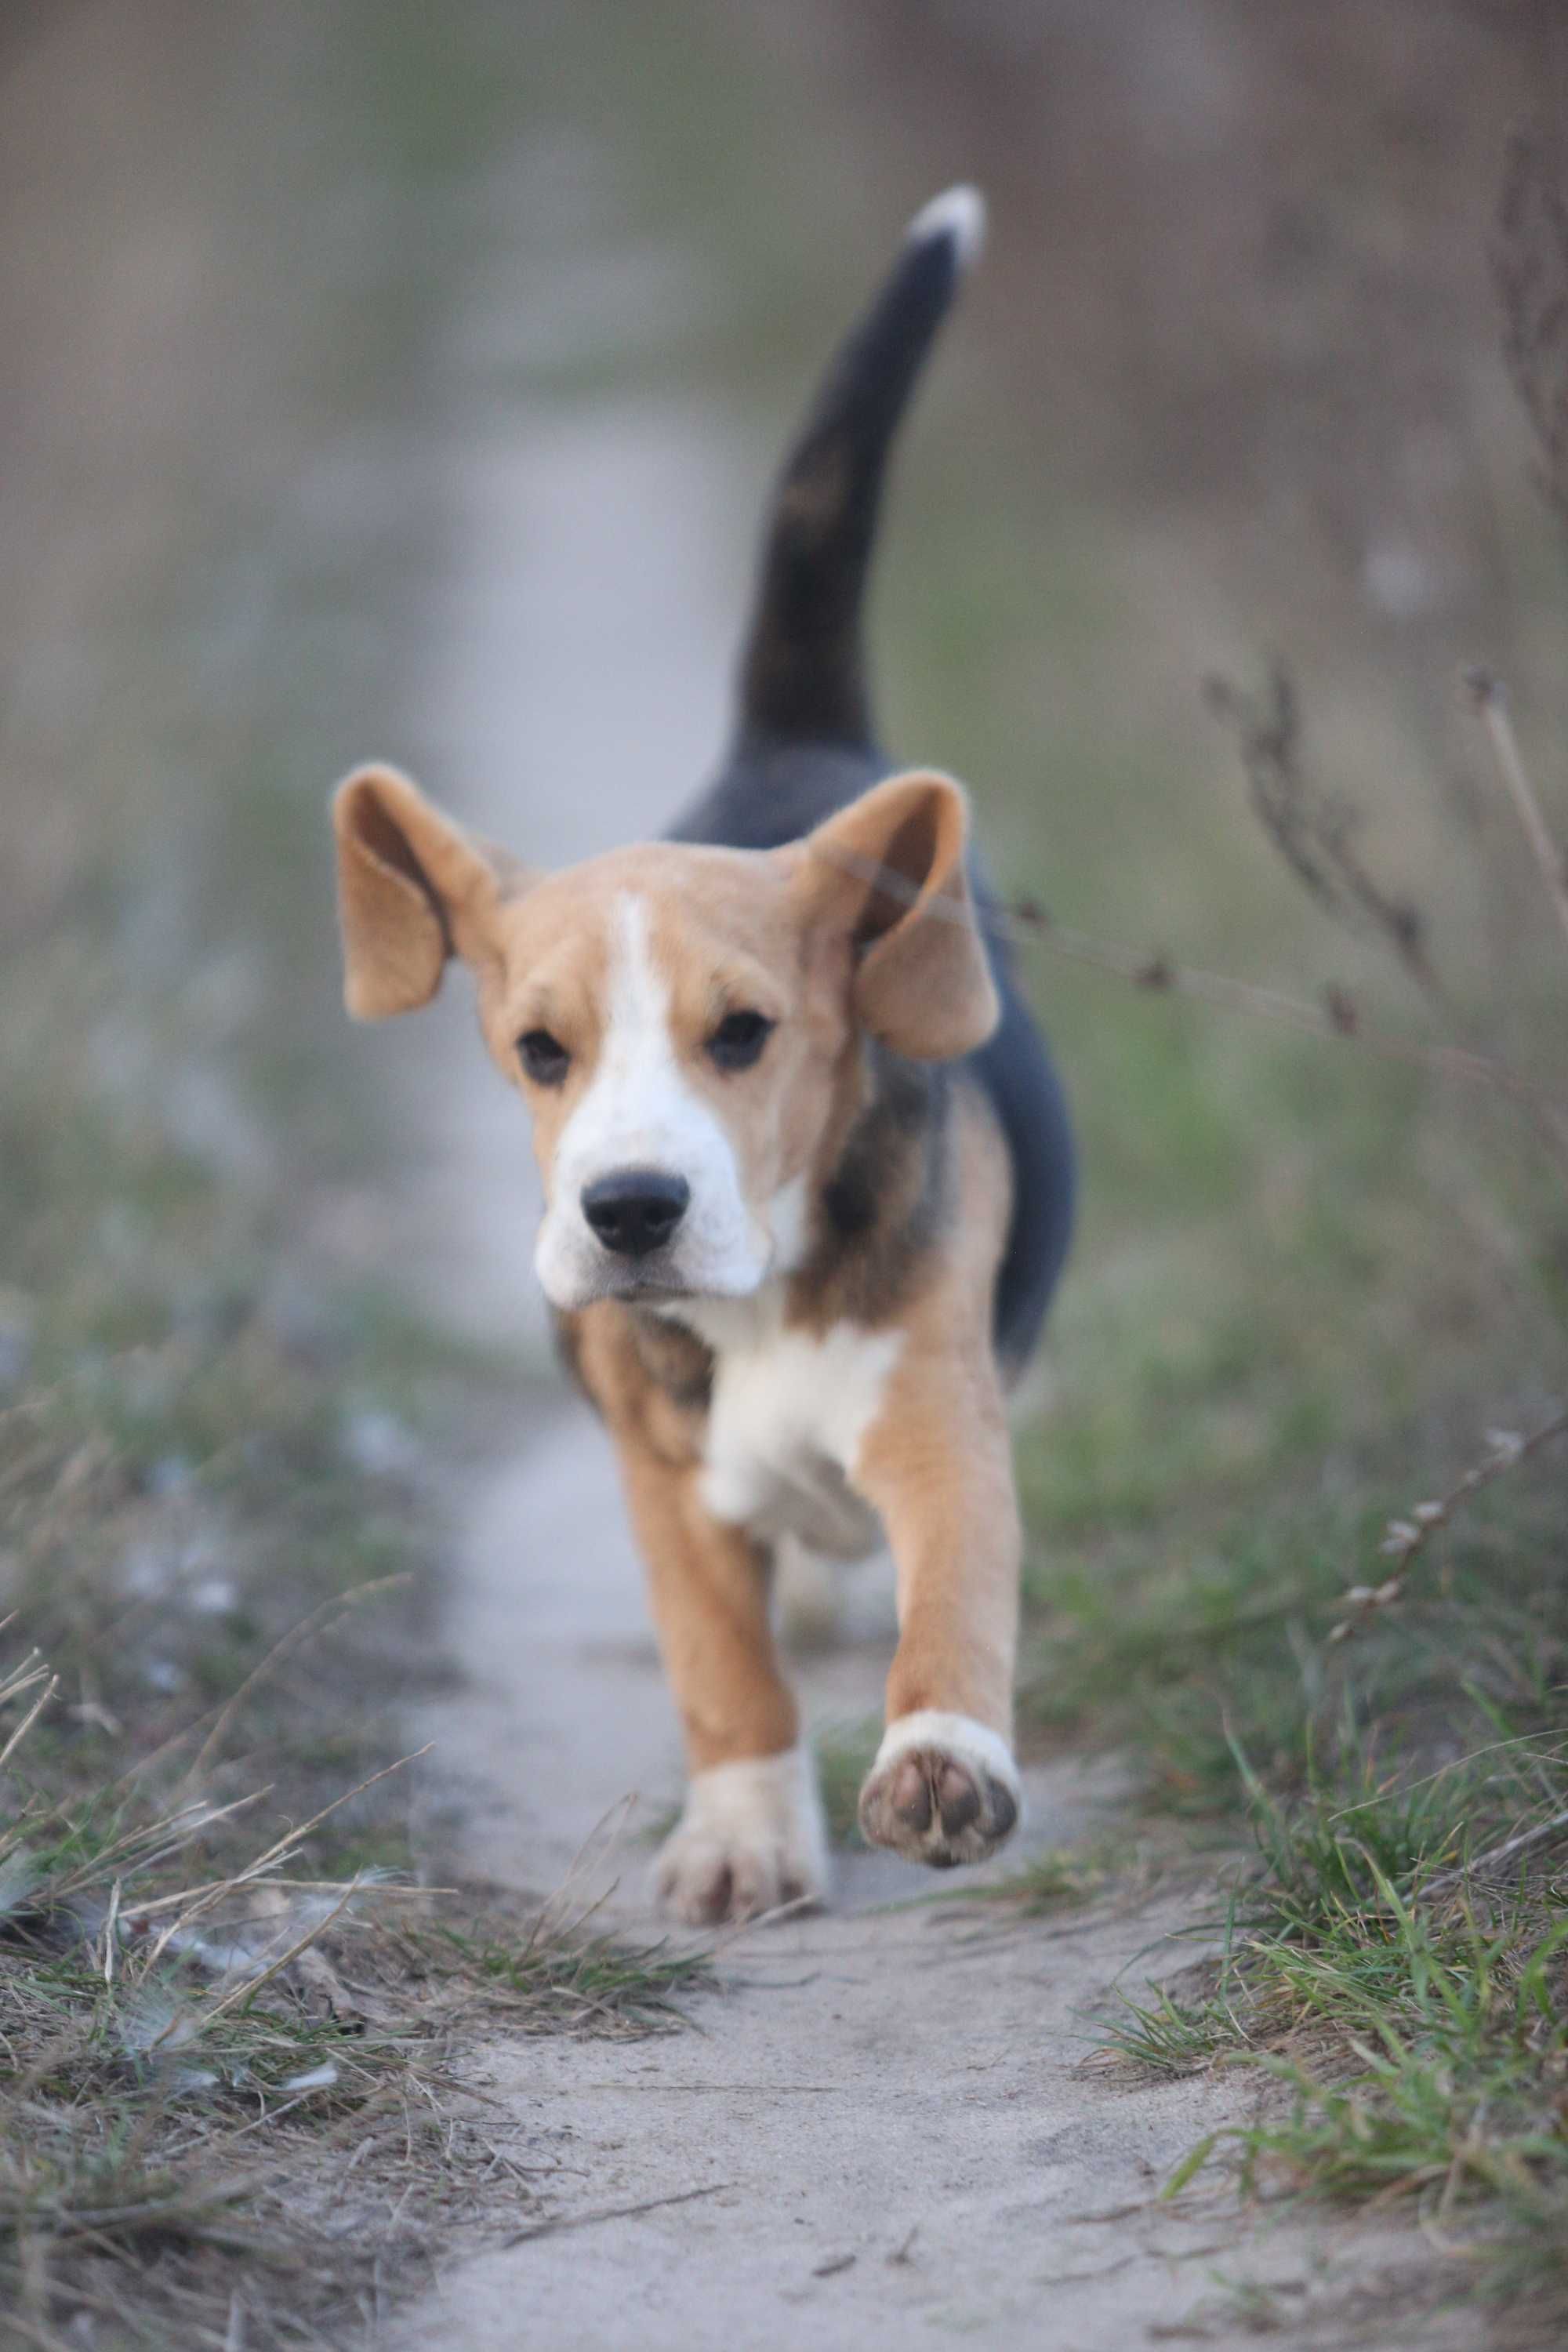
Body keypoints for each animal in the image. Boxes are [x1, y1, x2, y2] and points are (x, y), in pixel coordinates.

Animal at [333, 179, 1081, 1910]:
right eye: (538, 1051)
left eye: (744, 1034)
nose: (628, 1213)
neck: (755, 1296)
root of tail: (786, 744)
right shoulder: (664, 1487)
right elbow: (723, 1670)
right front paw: (742, 1835)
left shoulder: (935, 1411)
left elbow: (957, 1592)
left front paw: (942, 1759)